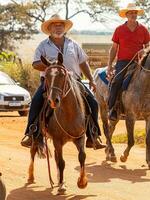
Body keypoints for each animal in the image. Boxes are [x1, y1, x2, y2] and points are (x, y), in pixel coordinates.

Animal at [27, 53, 87, 194]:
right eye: (47, 77)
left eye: (62, 75)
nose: (53, 100)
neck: (70, 116)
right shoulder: (57, 140)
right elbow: (61, 162)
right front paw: (61, 186)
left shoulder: (80, 137)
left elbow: (82, 156)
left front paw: (82, 182)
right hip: (36, 135)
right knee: (33, 151)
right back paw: (31, 176)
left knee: (54, 156)